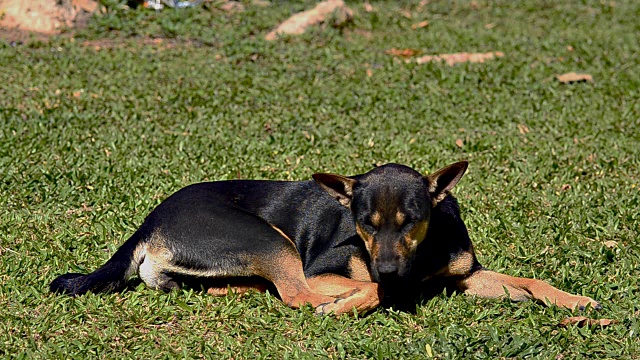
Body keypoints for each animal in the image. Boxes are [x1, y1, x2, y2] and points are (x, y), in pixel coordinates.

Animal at [51, 162, 600, 314]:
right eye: (364, 224)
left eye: (411, 220)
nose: (389, 268)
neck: (420, 258)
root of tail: (149, 221)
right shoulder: (329, 265)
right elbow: (373, 286)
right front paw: (361, 296)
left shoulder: (468, 276)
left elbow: (530, 282)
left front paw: (575, 300)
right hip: (271, 239)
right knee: (297, 292)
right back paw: (340, 303)